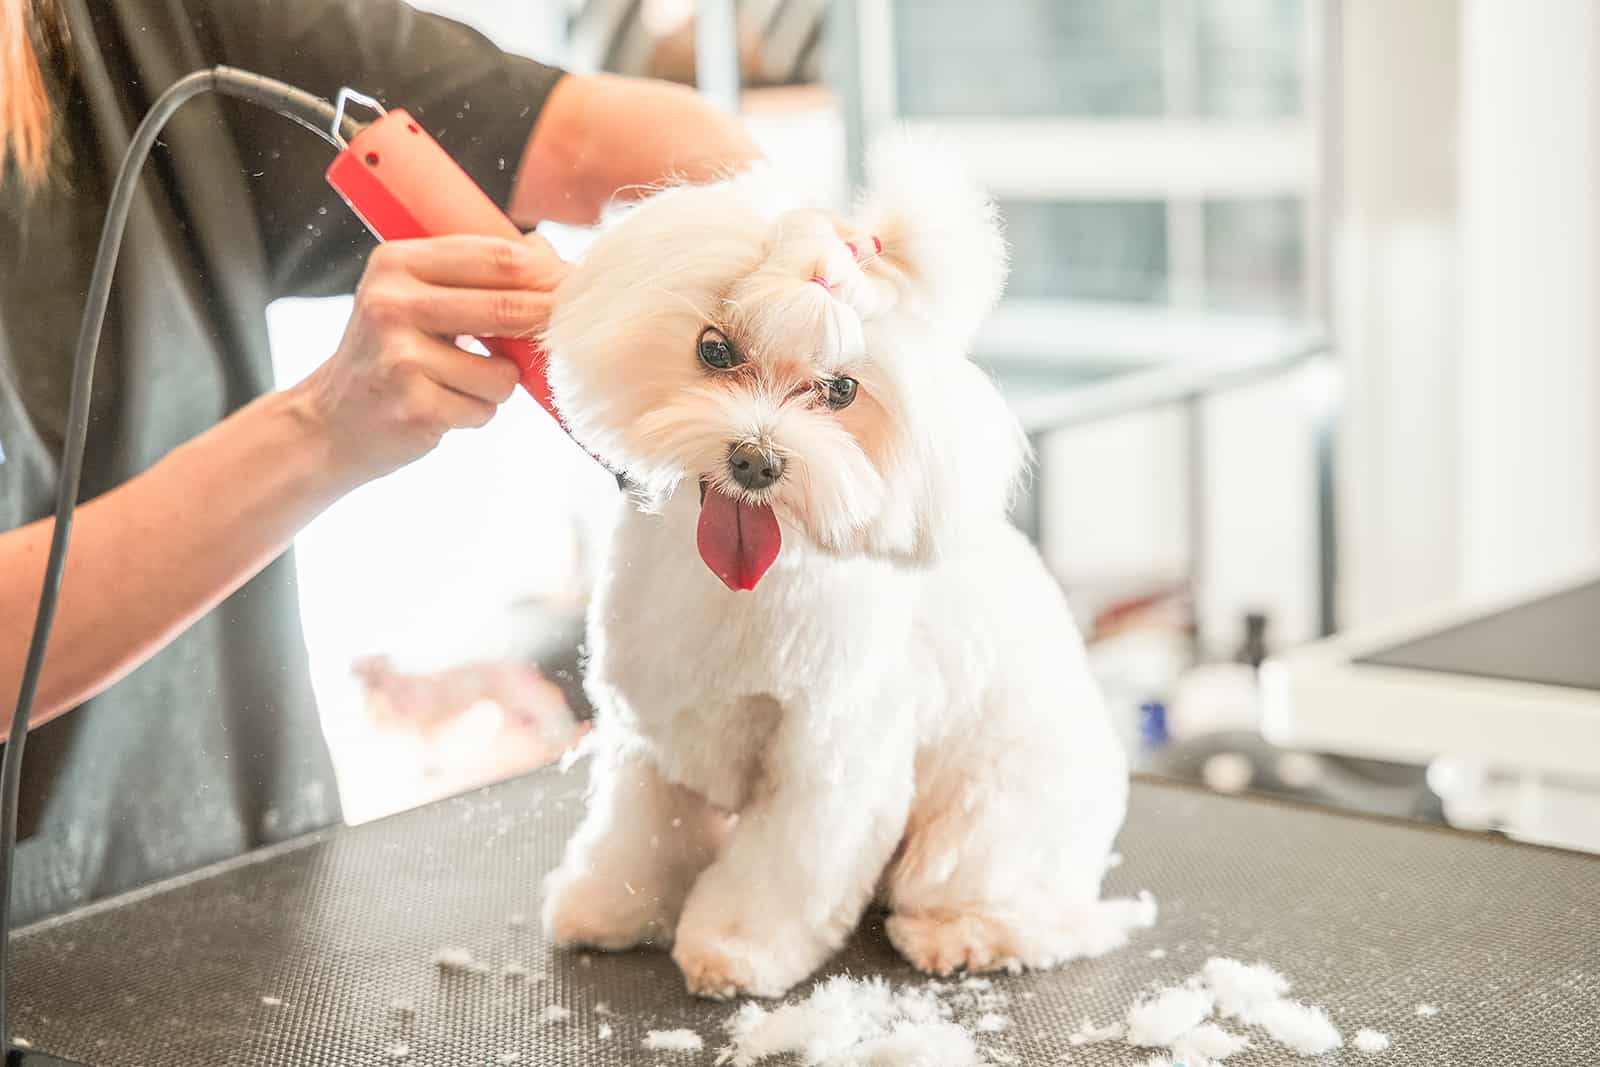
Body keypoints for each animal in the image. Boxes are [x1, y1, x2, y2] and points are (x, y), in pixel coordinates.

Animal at [544, 135, 1132, 1004]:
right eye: (714, 348)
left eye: (841, 389)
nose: (756, 459)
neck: (736, 589)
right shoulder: (651, 727)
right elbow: (636, 832)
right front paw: (606, 907)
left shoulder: (830, 754)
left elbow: (783, 865)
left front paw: (734, 948)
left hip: (991, 816)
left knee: (1017, 907)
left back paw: (958, 933)